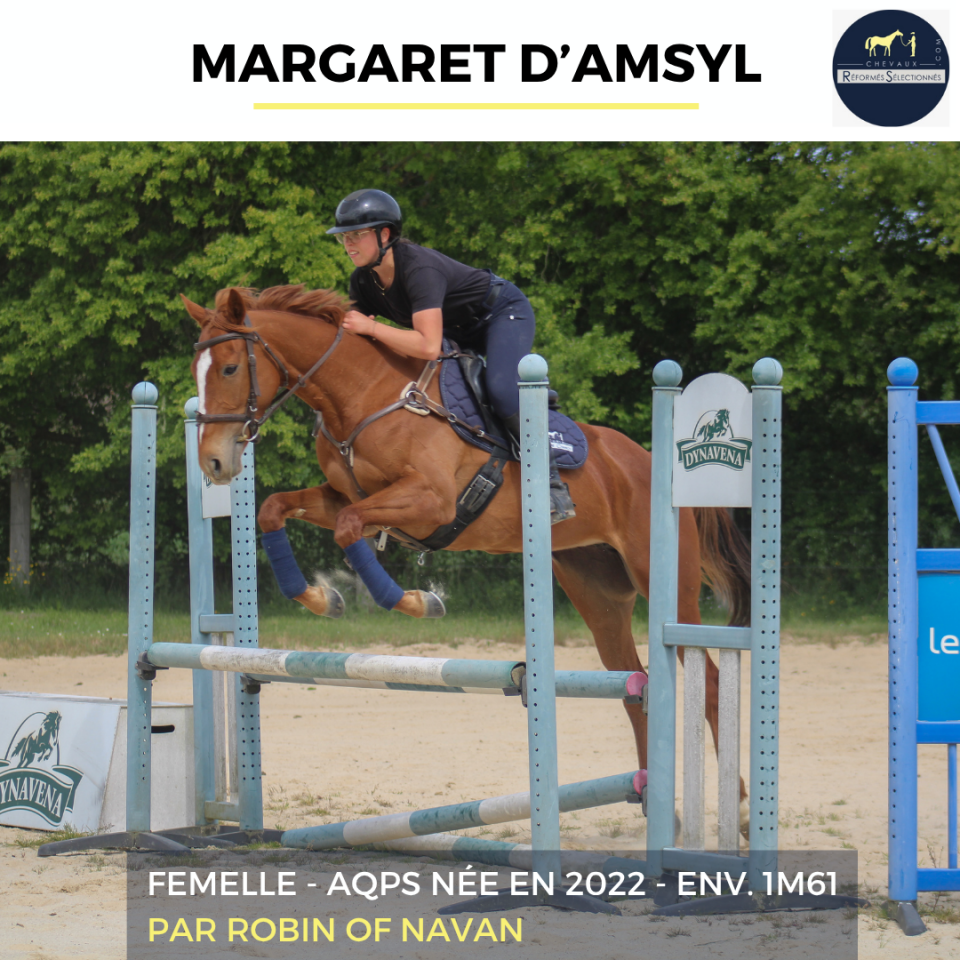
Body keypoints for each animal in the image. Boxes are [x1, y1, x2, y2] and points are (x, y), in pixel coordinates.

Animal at [182, 284, 752, 805]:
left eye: (229, 369)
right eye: (196, 372)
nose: (214, 463)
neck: (365, 395)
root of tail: (650, 463)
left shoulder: (430, 502)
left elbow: (347, 526)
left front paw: (416, 601)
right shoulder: (349, 496)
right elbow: (276, 508)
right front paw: (322, 599)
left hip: (664, 582)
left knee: (710, 683)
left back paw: (743, 807)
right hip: (598, 594)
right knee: (635, 685)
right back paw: (654, 801)